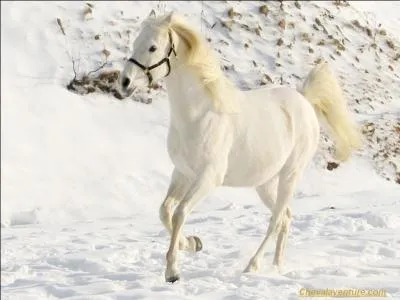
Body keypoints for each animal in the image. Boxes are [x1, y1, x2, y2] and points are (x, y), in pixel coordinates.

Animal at [119, 10, 362, 282]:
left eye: (152, 47)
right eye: (135, 42)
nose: (125, 82)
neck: (199, 115)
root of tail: (304, 100)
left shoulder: (208, 178)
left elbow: (180, 212)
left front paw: (173, 270)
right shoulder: (182, 173)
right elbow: (165, 211)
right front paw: (193, 243)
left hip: (290, 175)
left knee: (276, 220)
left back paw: (252, 266)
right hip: (265, 183)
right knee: (286, 218)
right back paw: (278, 267)